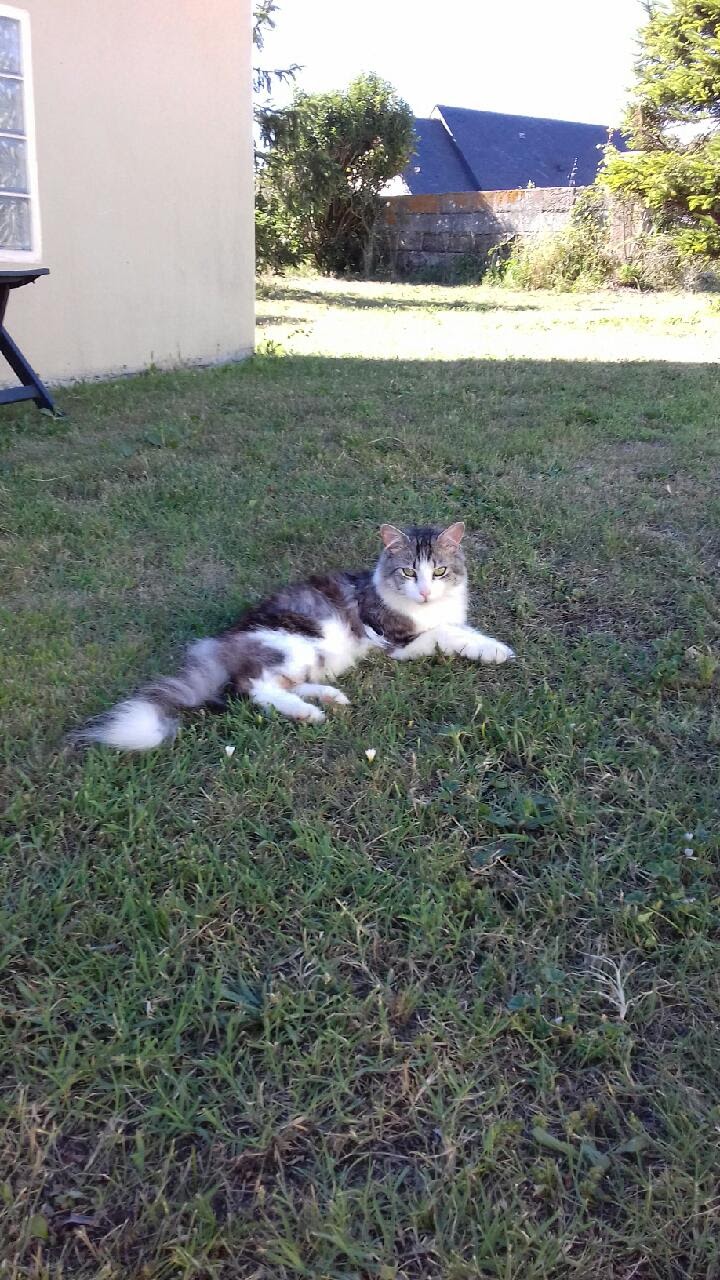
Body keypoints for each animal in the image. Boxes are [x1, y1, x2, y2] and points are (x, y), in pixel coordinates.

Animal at [71, 519, 509, 747]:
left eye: (439, 572)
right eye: (407, 572)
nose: (424, 591)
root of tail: (222, 642)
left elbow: (464, 630)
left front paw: (492, 649)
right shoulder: (397, 641)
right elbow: (447, 634)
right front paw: (493, 651)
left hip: (312, 659)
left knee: (281, 684)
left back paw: (329, 698)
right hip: (296, 643)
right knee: (253, 687)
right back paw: (308, 712)